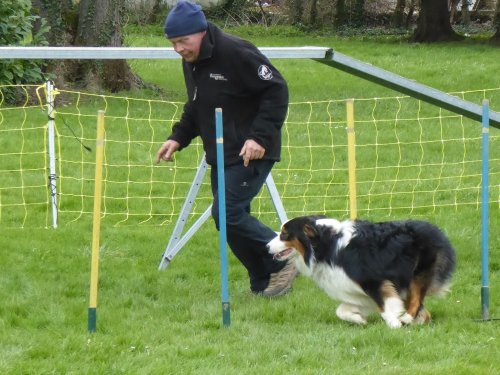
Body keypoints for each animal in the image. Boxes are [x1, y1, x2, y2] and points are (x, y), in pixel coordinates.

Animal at [270, 217, 458, 328]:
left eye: (284, 234)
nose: (267, 246)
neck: (326, 246)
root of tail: (436, 231)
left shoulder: (373, 282)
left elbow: (386, 308)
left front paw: (394, 325)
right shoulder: (355, 290)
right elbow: (341, 310)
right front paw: (358, 319)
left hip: (417, 274)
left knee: (416, 301)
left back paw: (406, 319)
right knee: (424, 311)